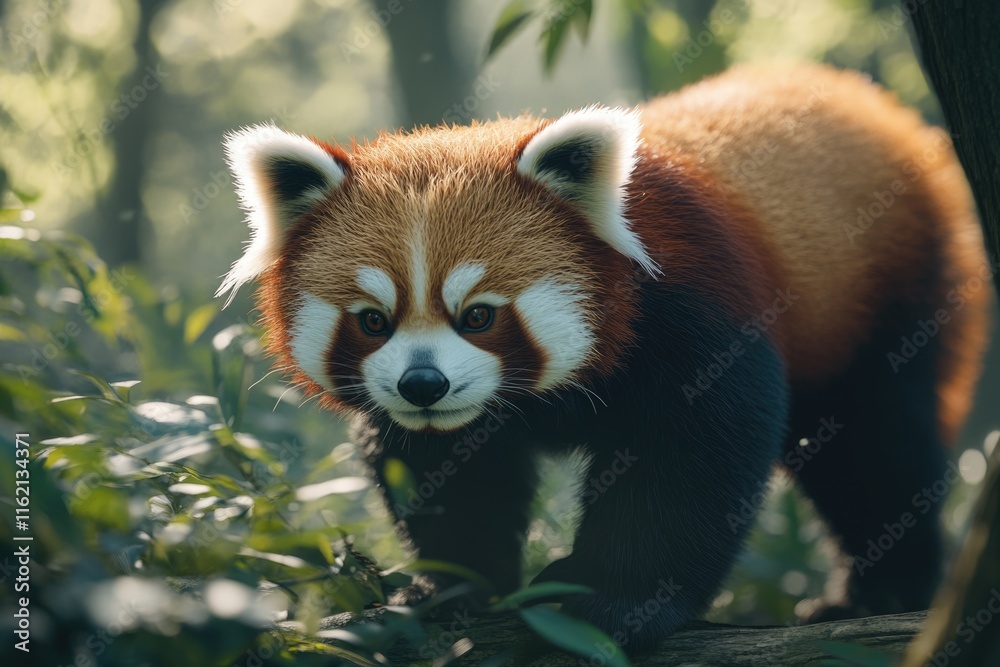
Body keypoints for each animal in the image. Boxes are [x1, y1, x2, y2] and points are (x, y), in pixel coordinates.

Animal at [218, 63, 990, 651]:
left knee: (875, 448)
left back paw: (881, 592)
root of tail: (870, 104)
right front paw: (451, 585)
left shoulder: (694, 320)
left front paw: (611, 602)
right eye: (374, 321)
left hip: (891, 293)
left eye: (479, 315)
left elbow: (684, 468)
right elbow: (448, 471)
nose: (423, 384)